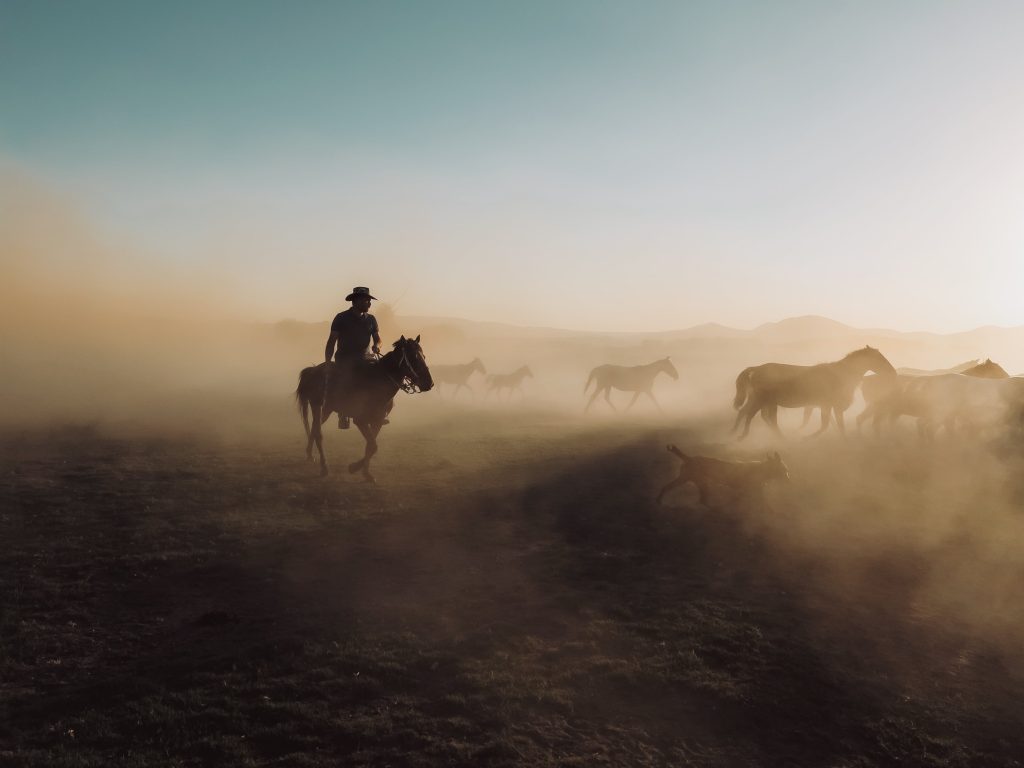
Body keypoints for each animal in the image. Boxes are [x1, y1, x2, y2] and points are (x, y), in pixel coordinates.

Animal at [292, 335, 432, 481]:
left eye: (423, 356)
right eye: (414, 357)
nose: (429, 383)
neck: (377, 382)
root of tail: (312, 370)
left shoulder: (378, 420)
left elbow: (370, 446)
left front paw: (365, 472)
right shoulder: (360, 420)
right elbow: (373, 446)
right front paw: (354, 467)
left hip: (327, 409)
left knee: (314, 429)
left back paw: (309, 454)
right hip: (317, 405)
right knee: (318, 433)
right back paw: (324, 467)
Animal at [733, 348, 892, 438]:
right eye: (879, 358)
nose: (891, 371)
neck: (841, 374)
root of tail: (757, 368)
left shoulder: (829, 406)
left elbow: (835, 424)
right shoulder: (829, 405)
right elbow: (827, 425)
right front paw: (807, 437)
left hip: (764, 401)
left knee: (752, 414)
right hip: (764, 400)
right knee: (754, 415)